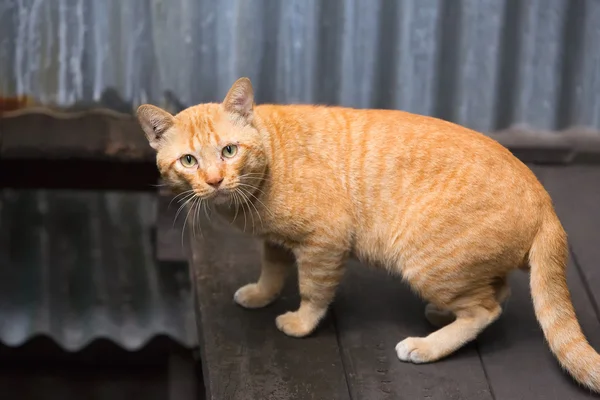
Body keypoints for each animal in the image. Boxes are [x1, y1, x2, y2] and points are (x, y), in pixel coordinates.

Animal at [137, 76, 600, 392]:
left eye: (229, 151)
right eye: (189, 161)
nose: (215, 181)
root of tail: (545, 200)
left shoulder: (324, 243)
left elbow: (313, 291)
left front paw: (300, 322)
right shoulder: (276, 241)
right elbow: (272, 269)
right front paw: (260, 294)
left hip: (427, 263)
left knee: (485, 310)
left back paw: (426, 345)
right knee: (496, 292)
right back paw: (440, 316)